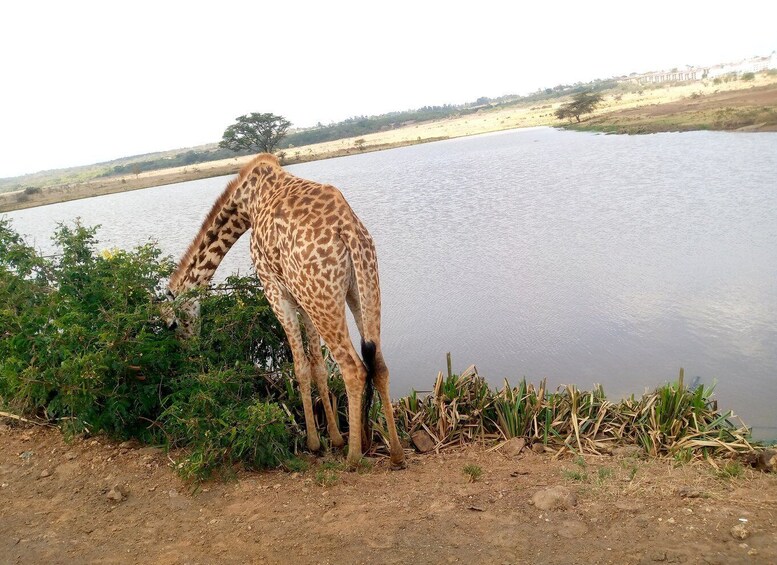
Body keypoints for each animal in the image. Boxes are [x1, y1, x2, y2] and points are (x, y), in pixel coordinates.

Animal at [165, 152, 406, 470]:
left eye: (172, 325)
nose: (188, 354)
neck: (247, 202)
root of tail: (349, 231)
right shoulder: (300, 297)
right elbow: (318, 366)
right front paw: (335, 438)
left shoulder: (274, 290)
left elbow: (300, 367)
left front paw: (315, 443)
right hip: (360, 287)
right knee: (377, 363)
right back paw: (394, 453)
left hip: (323, 298)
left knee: (353, 368)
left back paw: (354, 457)